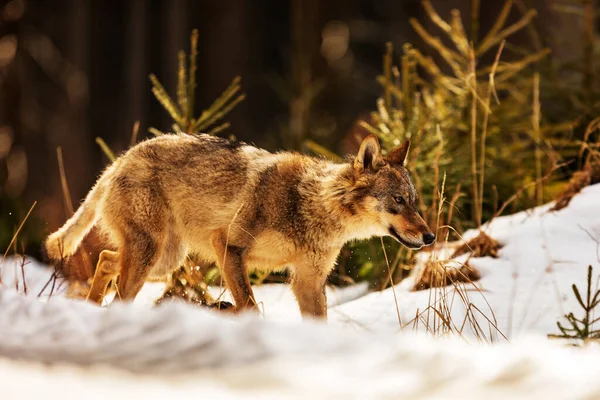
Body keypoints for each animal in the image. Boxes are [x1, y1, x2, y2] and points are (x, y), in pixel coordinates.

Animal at [44, 134, 434, 318]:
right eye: (398, 201)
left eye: (414, 201)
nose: (430, 236)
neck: (311, 205)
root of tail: (120, 160)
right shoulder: (228, 247)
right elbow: (249, 306)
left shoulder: (307, 282)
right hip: (153, 258)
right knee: (117, 281)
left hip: (163, 261)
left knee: (107, 259)